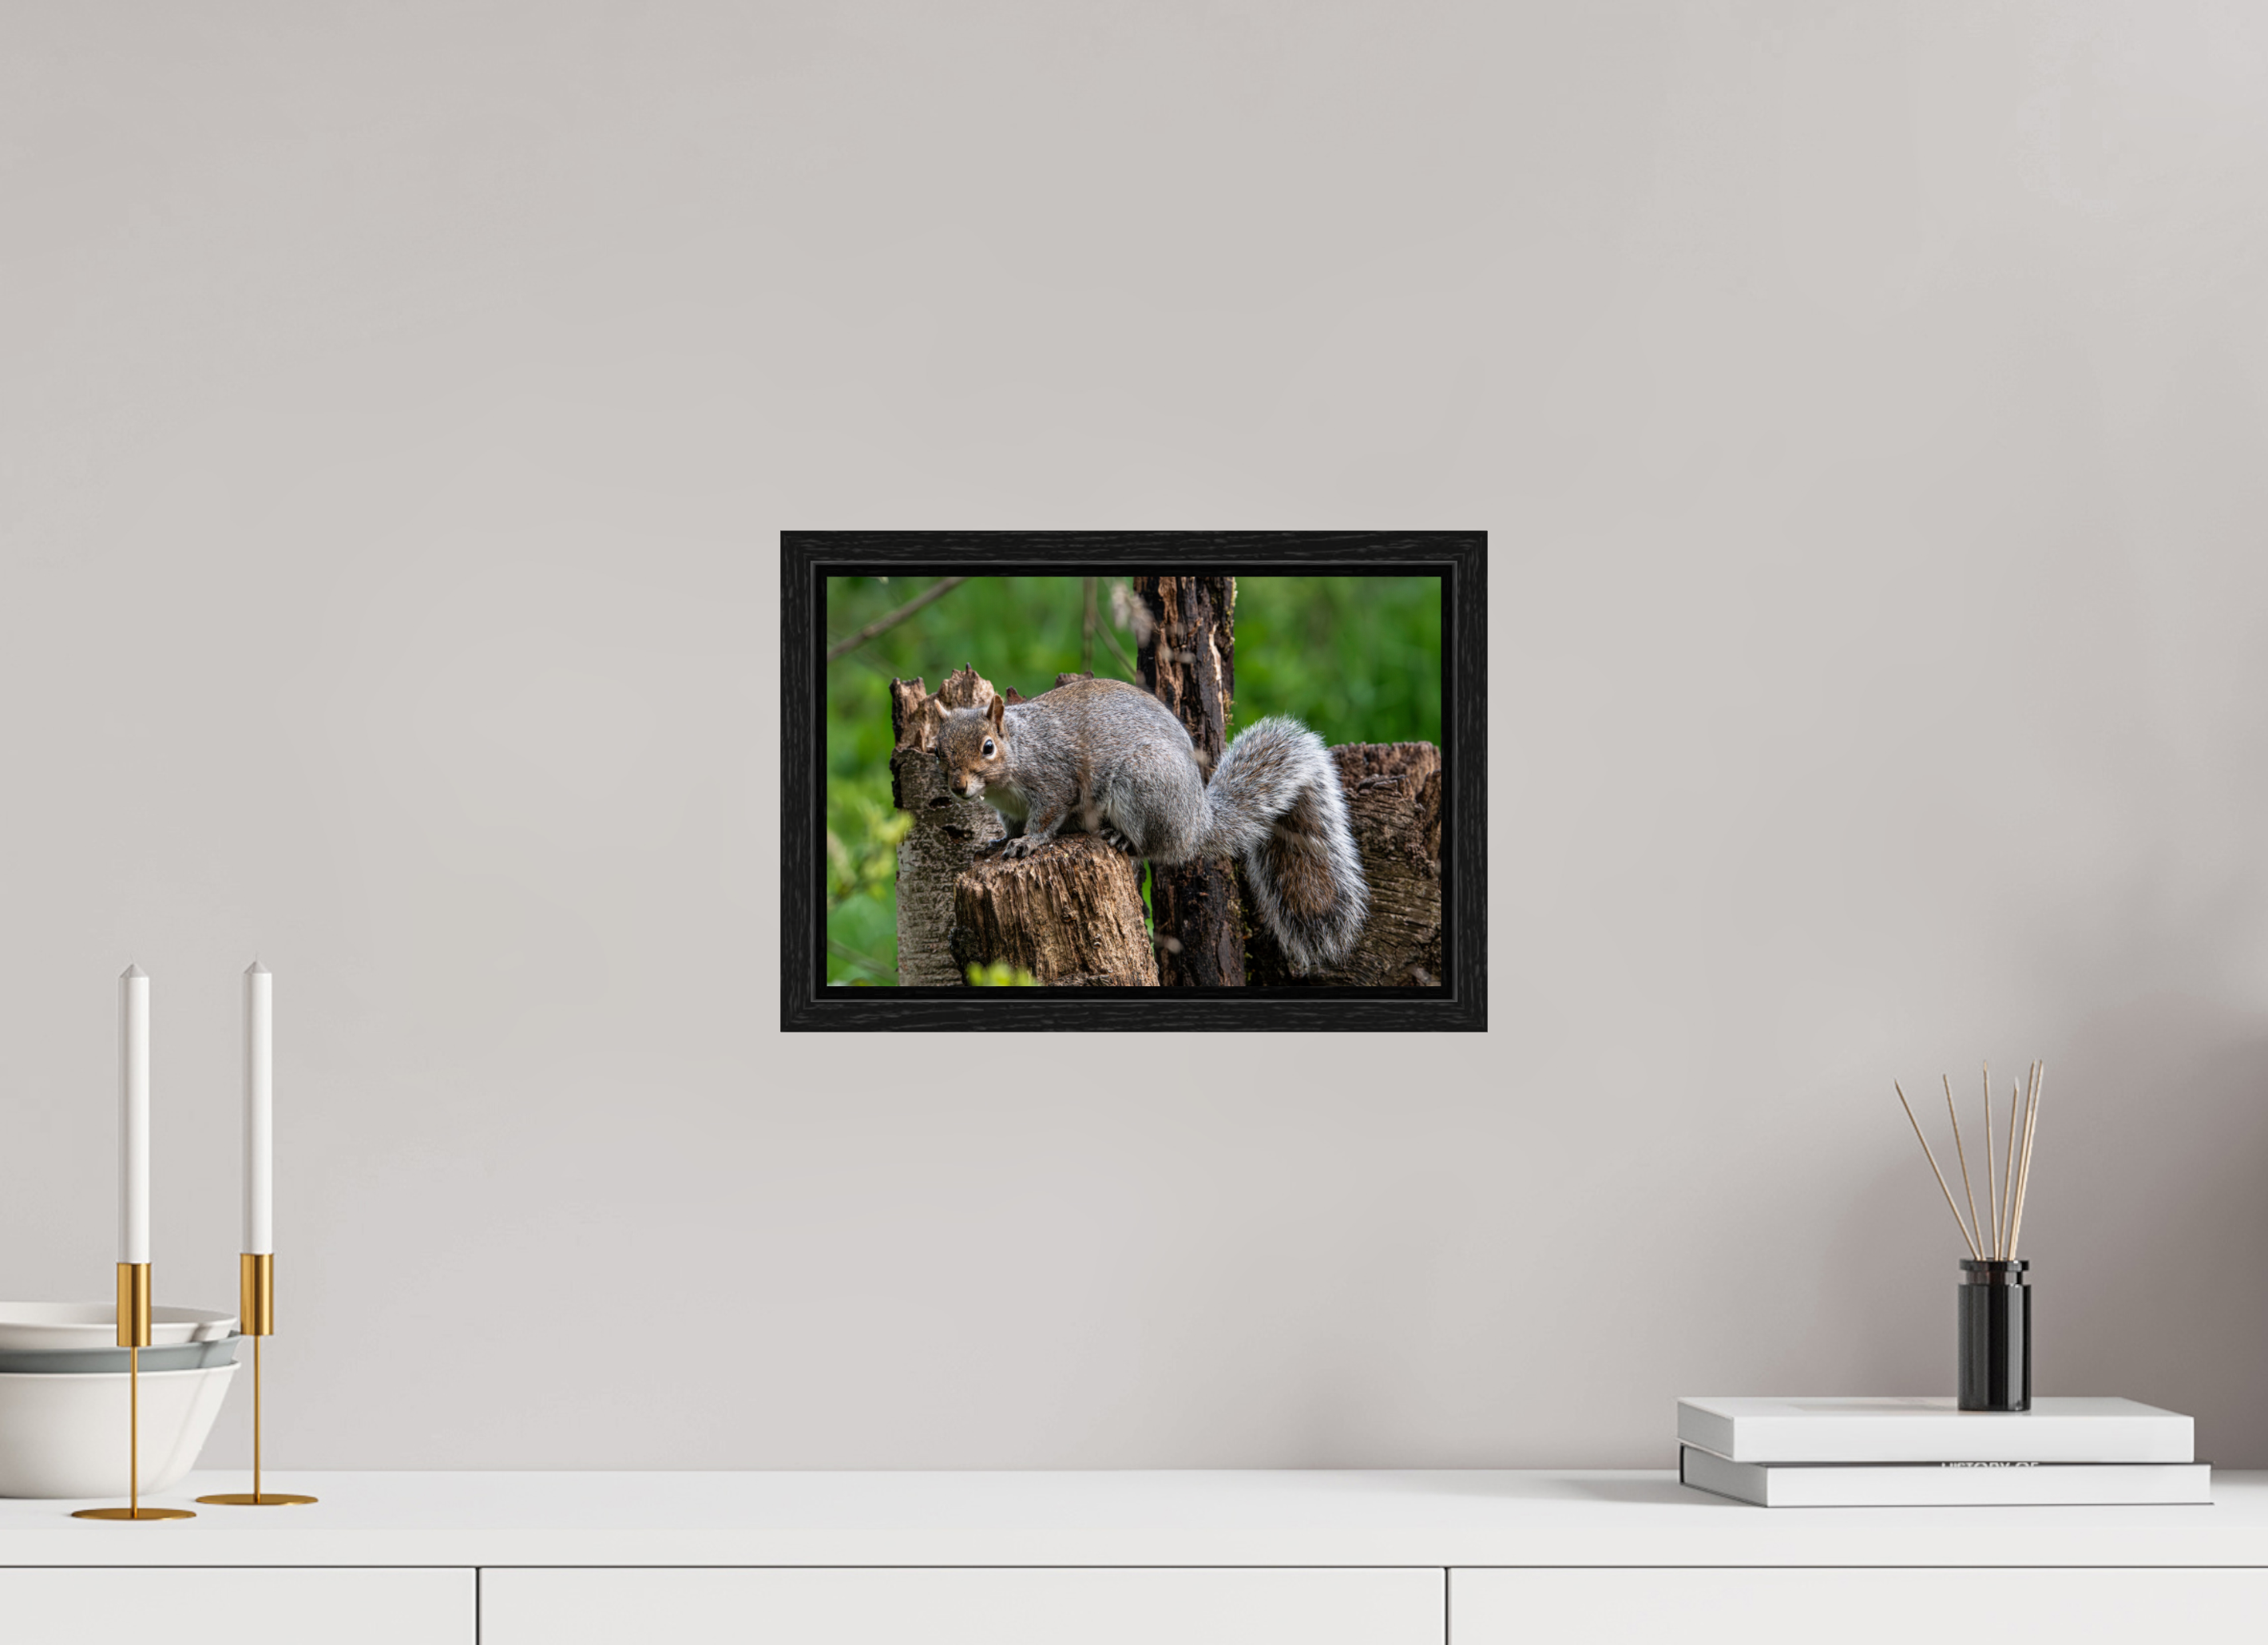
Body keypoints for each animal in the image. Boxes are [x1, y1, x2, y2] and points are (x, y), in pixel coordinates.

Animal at [935, 676, 1368, 973]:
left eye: (988, 747)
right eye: (937, 750)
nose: (958, 787)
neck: (1019, 752)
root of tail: (1196, 822)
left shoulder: (1054, 783)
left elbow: (1045, 819)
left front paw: (1029, 843)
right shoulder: (1009, 810)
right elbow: (1010, 827)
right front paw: (996, 843)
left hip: (1144, 786)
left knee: (1154, 847)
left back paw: (1122, 839)